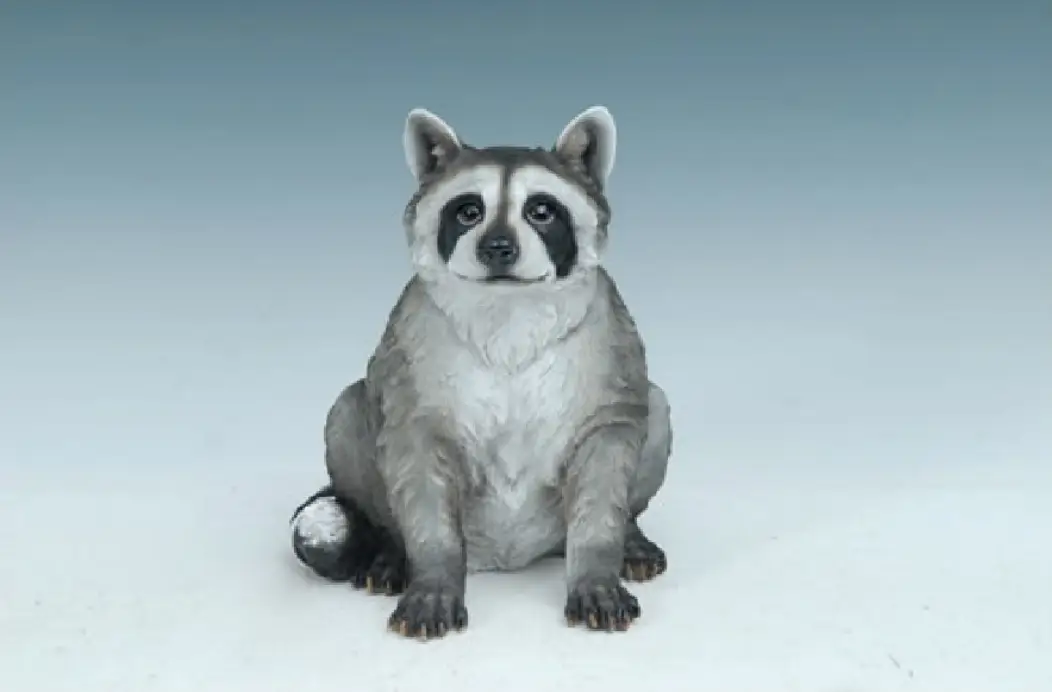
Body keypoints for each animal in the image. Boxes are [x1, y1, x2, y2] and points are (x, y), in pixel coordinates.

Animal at [290, 106, 673, 640]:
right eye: (468, 211)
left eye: (541, 211)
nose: (497, 247)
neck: (508, 307)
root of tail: (506, 557)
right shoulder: (414, 350)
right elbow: (419, 468)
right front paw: (433, 575)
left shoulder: (606, 344)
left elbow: (608, 454)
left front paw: (596, 569)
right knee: (347, 410)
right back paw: (392, 548)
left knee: (655, 405)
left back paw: (631, 535)